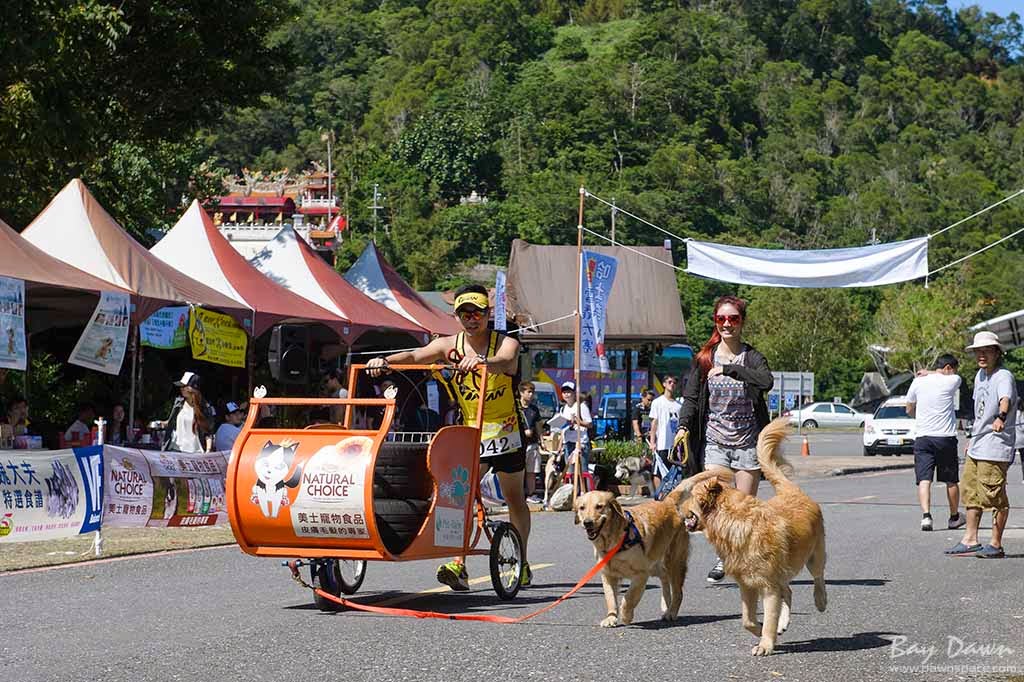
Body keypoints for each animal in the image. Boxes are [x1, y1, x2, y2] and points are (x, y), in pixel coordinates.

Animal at [577, 485, 688, 622]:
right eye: (582, 508)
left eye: (599, 506)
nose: (587, 522)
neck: (613, 542)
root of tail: (668, 502)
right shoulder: (608, 574)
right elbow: (610, 598)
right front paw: (611, 618)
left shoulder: (641, 574)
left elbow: (628, 597)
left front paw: (626, 616)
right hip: (654, 565)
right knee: (664, 576)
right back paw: (665, 605)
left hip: (673, 562)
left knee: (678, 592)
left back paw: (671, 612)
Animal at [684, 417, 827, 655]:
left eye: (691, 495)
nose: (676, 505)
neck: (735, 521)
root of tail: (791, 491)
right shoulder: (747, 584)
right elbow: (748, 620)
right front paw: (763, 632)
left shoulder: (768, 586)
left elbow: (769, 616)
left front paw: (765, 644)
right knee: (788, 592)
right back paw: (783, 623)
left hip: (814, 556)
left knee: (818, 577)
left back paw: (820, 600)